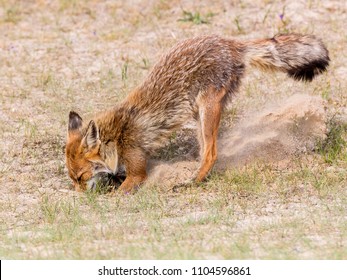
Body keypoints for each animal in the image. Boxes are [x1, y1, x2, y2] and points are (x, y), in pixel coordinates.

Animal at [65, 33, 328, 192]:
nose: (83, 199)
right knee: (204, 151)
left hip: (207, 108)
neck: (117, 136)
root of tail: (231, 43)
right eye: (73, 178)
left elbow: (124, 187)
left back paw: (194, 181)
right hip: (198, 116)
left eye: (80, 177)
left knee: (212, 153)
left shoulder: (136, 166)